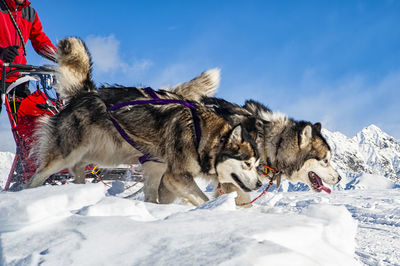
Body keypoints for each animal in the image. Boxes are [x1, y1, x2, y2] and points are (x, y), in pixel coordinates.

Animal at [27, 37, 262, 206]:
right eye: (247, 164)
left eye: (257, 165)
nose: (260, 183)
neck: (201, 133)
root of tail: (86, 93)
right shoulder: (176, 176)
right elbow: (201, 199)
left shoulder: (160, 171)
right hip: (67, 153)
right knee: (38, 176)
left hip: (108, 153)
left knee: (79, 168)